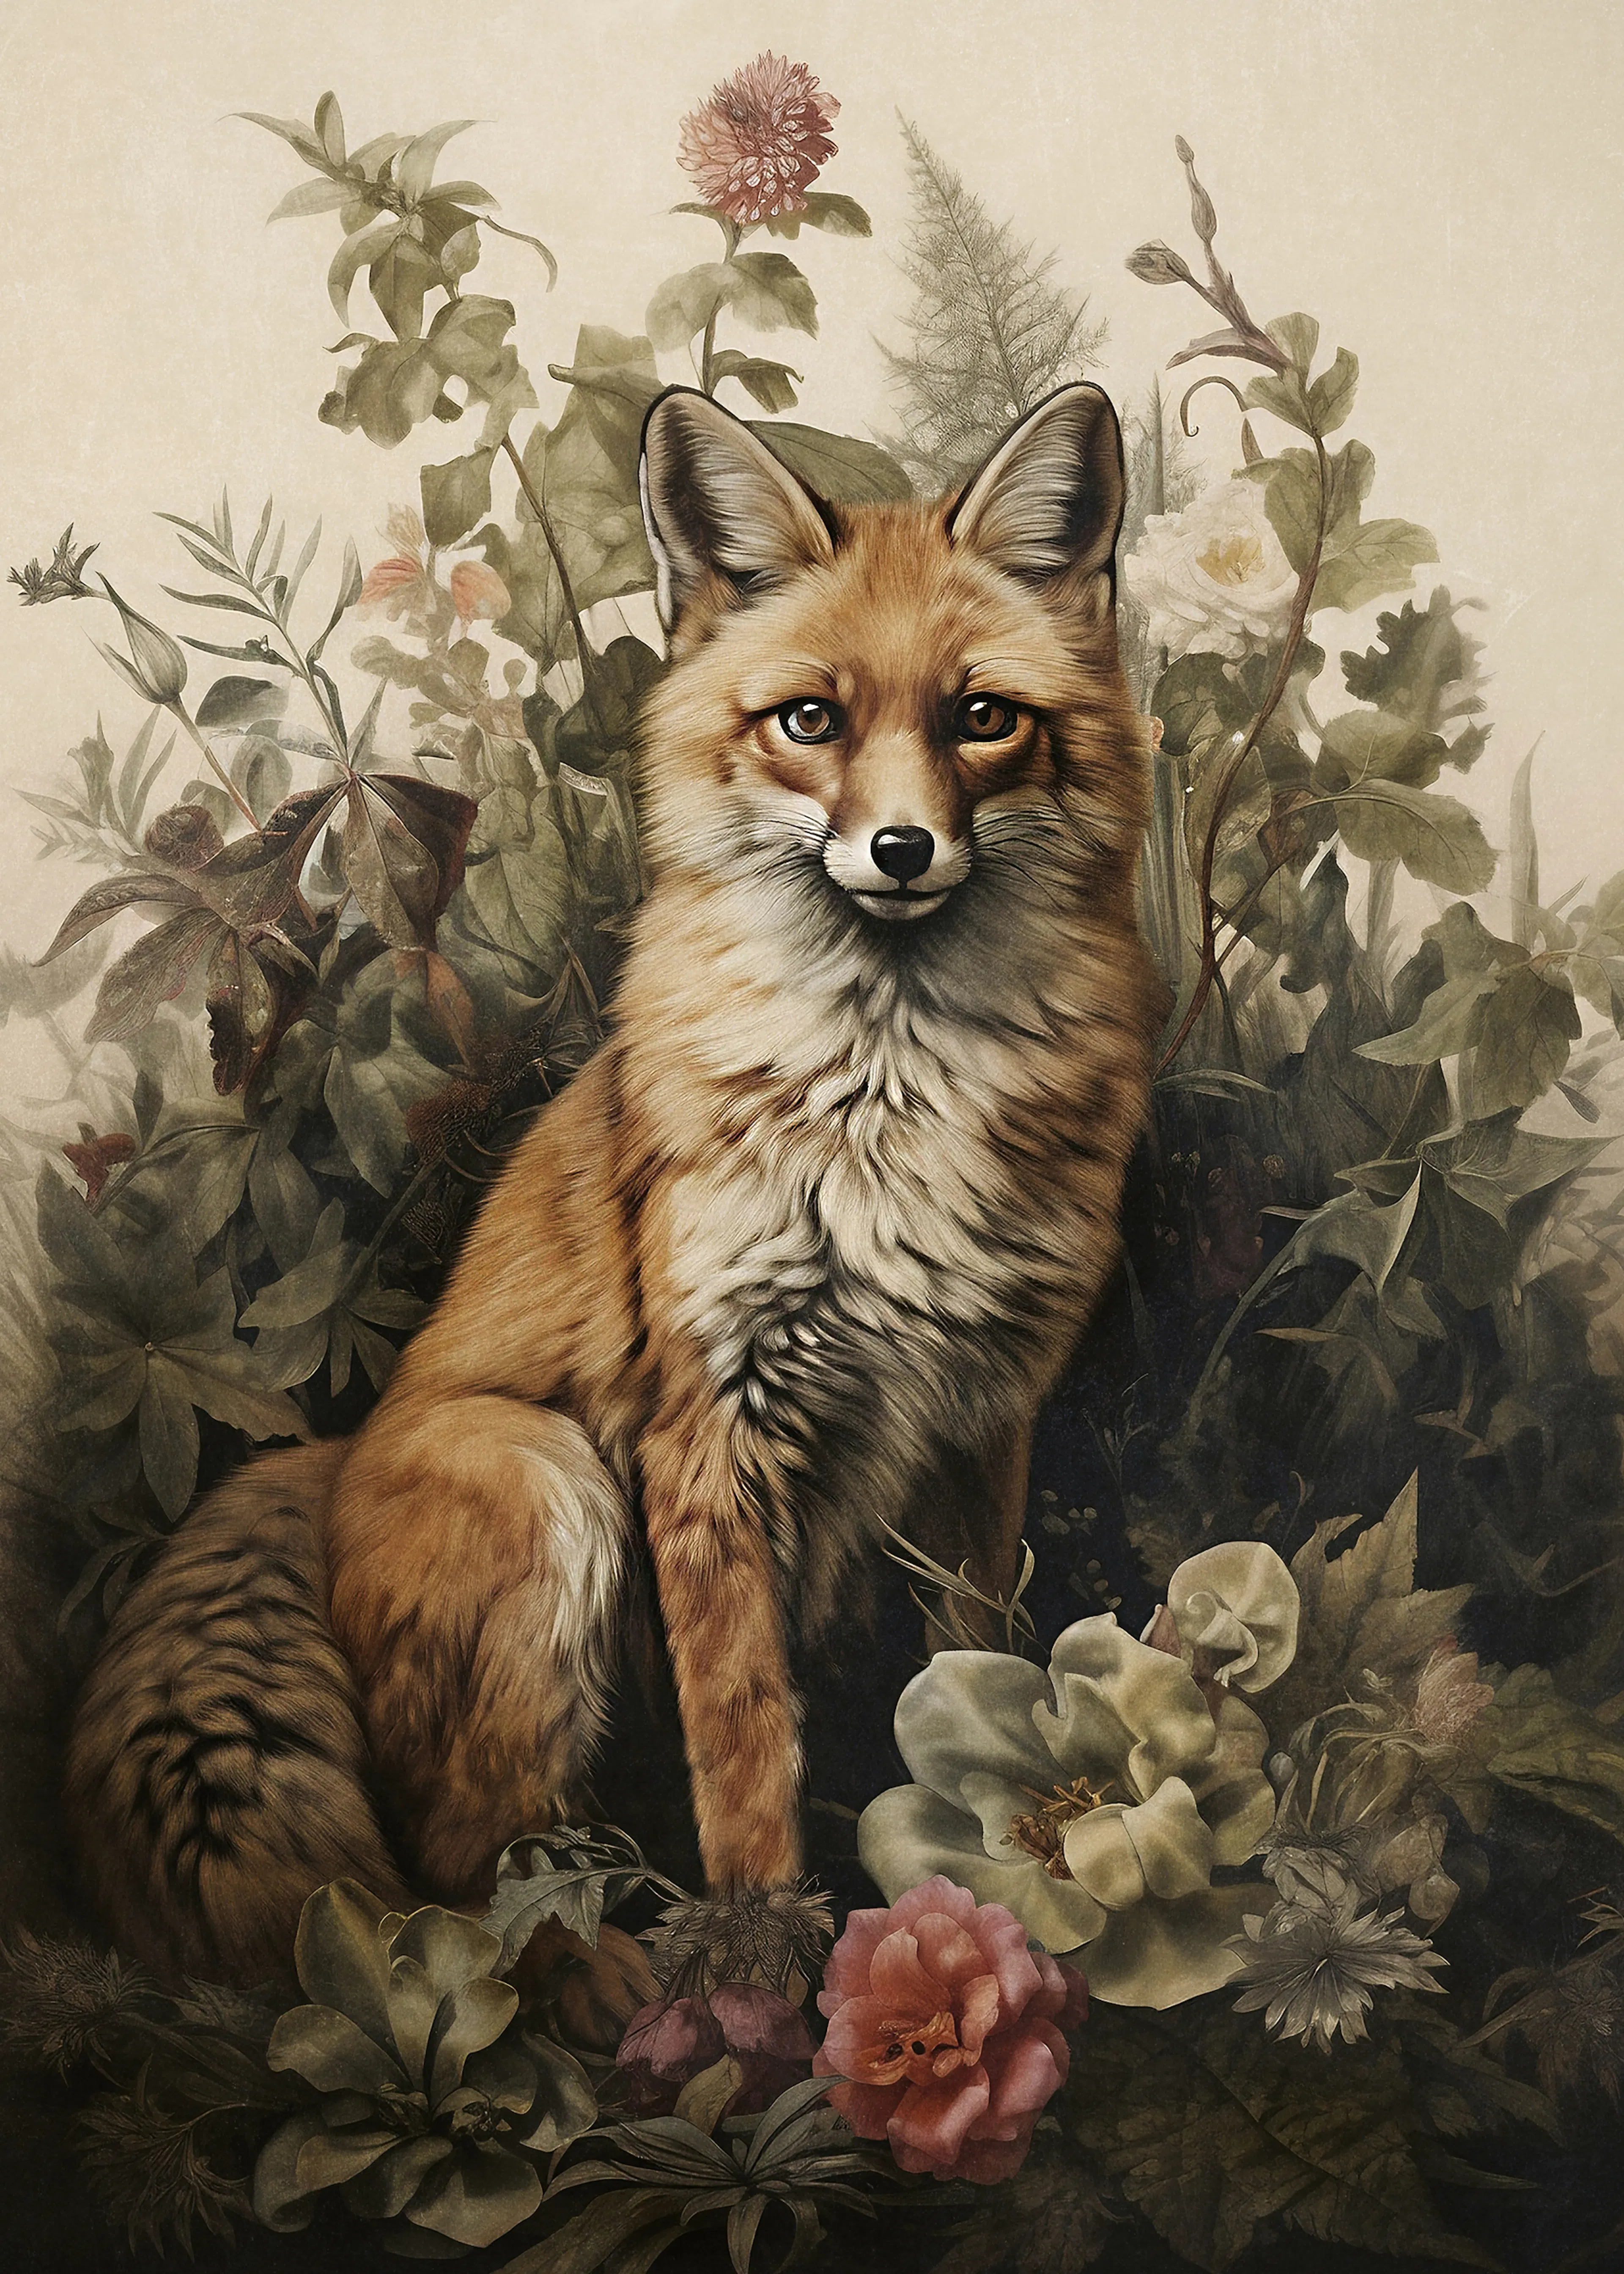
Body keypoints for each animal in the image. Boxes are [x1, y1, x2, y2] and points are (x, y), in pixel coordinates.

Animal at [64, 380, 1162, 1993]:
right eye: (811, 720)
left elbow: (984, 1669)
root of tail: (333, 1455)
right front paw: (770, 1968)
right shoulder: (706, 1423)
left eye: (983, 719)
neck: (891, 1103)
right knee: (468, 1878)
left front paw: (995, 1890)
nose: (900, 848)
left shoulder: (984, 1413)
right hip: (556, 1481)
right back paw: (603, 1996)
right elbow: (746, 1748)